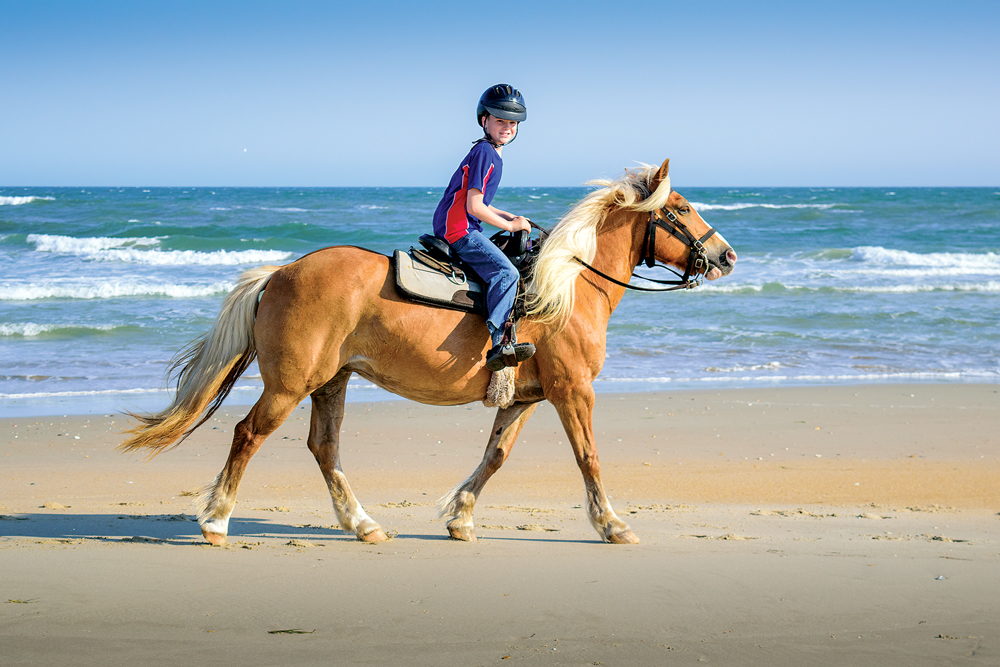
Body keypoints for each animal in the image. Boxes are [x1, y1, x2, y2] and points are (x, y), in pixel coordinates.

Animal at [123, 159, 736, 544]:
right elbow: (589, 458)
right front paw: (612, 525)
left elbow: (495, 456)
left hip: (332, 380)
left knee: (325, 448)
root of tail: (281, 272)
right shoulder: (572, 392)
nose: (726, 256)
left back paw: (363, 524)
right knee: (248, 434)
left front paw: (460, 518)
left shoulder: (526, 397)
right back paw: (216, 522)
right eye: (681, 209)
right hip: (290, 384)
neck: (567, 288)